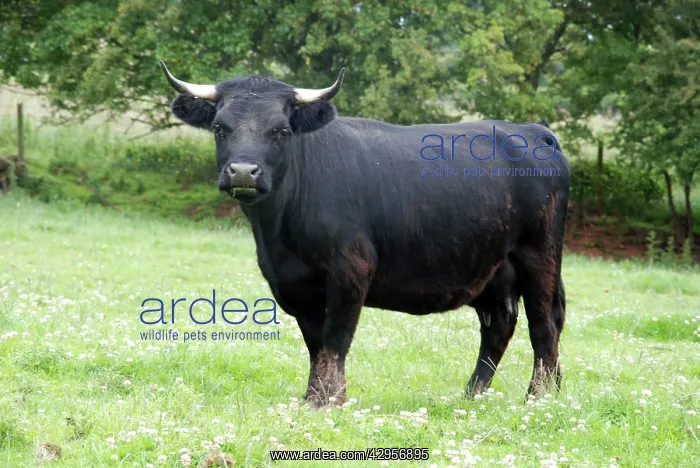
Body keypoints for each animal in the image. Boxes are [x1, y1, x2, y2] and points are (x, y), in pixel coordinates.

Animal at [160, 61, 570, 407]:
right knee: (499, 325)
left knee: (544, 325)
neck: (278, 236)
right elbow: (316, 343)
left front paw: (332, 400)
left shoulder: (351, 267)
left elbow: (336, 338)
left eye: (281, 130)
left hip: (539, 256)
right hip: (492, 269)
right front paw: (313, 398)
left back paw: (537, 398)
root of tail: (532, 131)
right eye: (219, 128)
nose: (243, 171)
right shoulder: (292, 284)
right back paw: (472, 395)